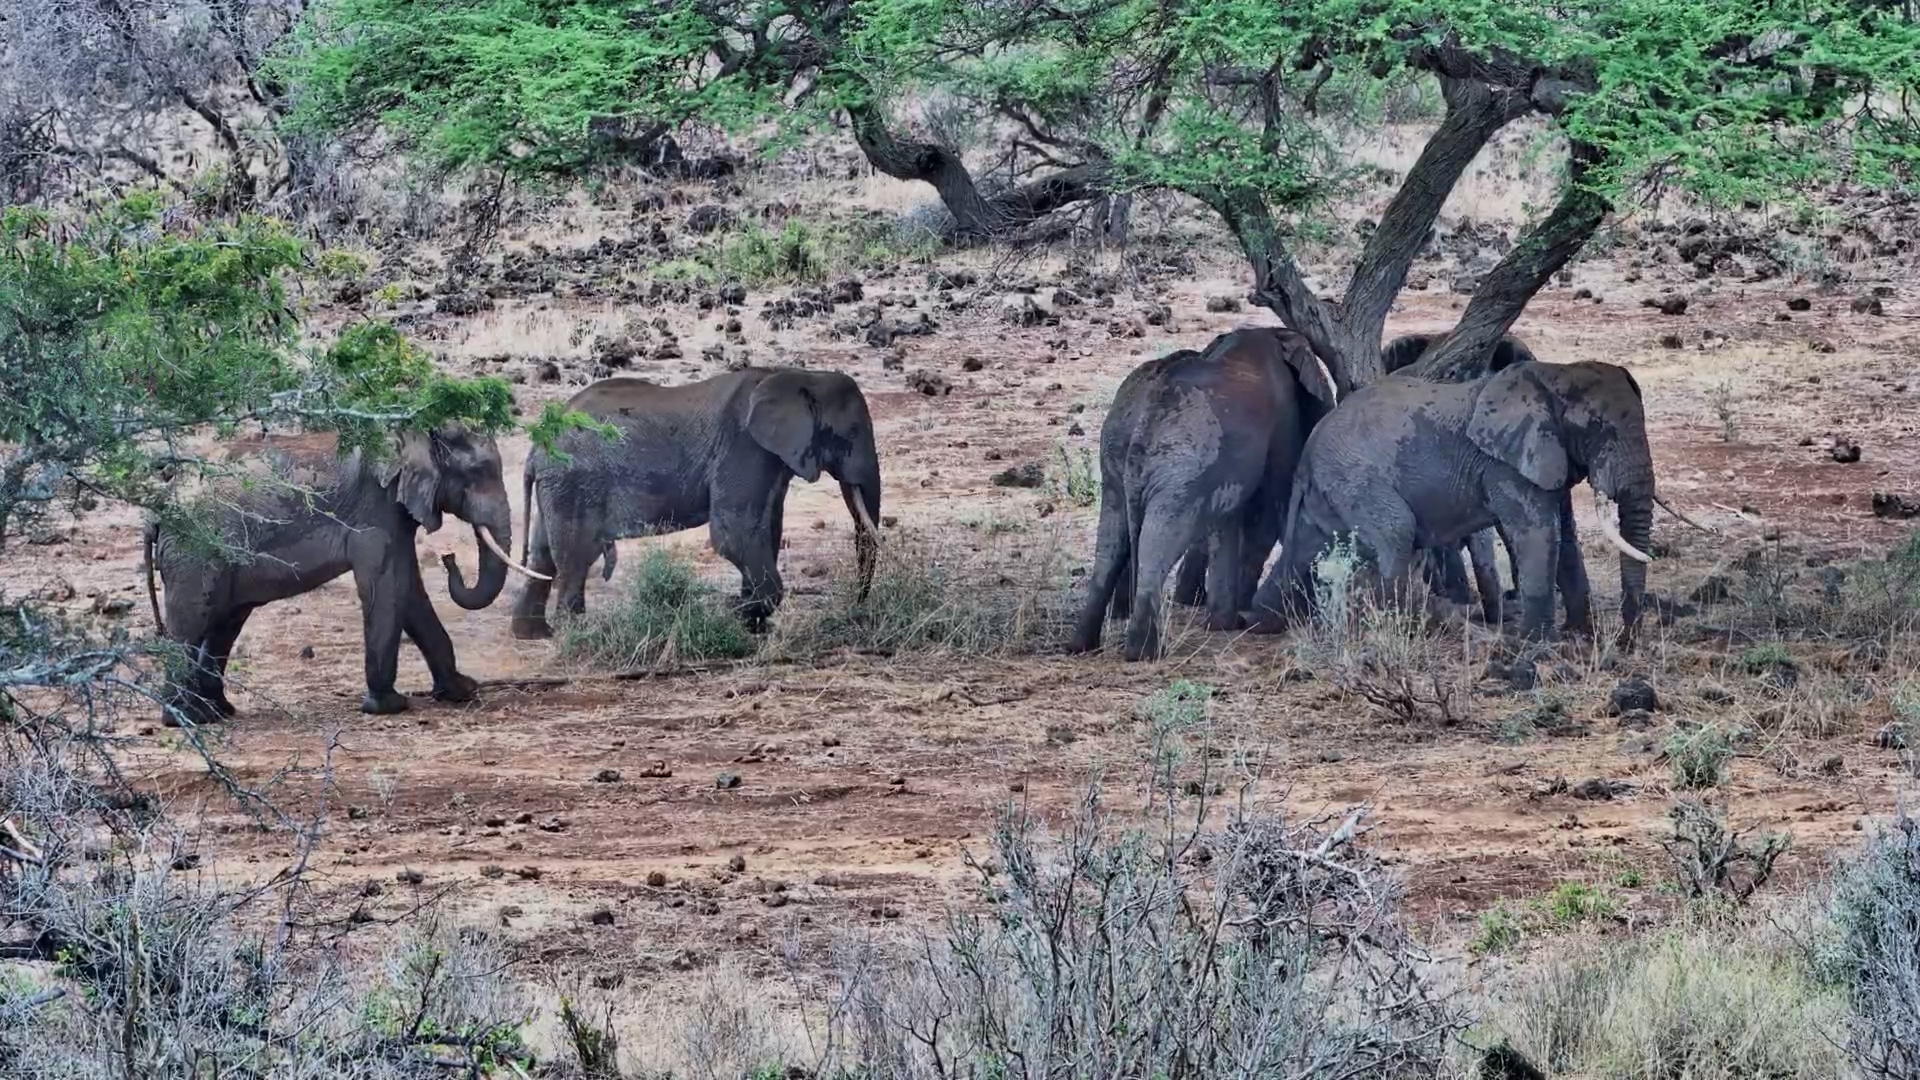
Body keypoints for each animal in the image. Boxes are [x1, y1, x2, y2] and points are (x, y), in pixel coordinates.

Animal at [143, 425, 542, 721]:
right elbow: (386, 585)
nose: (449, 558)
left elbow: (409, 588)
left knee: (224, 622)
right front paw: (388, 706)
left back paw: (217, 712)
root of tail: (159, 505)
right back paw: (184, 717)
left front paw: (461, 690)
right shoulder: (375, 511)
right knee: (194, 619)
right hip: (195, 550)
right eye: (477, 473)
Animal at [508, 367, 882, 638]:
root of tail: (535, 447)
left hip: (558, 484)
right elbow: (734, 535)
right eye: (850, 436)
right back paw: (577, 635)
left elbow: (766, 528)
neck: (802, 376)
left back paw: (533, 634)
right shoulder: (743, 447)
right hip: (574, 481)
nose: (856, 609)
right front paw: (741, 616)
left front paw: (752, 623)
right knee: (577, 556)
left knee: (544, 554)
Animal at [1069, 327, 1338, 660]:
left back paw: (1080, 645)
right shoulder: (1283, 420)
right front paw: (1256, 618)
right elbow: (1275, 507)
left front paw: (1225, 624)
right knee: (1160, 539)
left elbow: (1231, 521)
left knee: (1110, 541)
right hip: (1181, 465)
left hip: (1116, 455)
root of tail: (1143, 416)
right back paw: (1143, 652)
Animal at [1251, 359, 1659, 643]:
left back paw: (1259, 622)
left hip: (1330, 485)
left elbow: (1566, 533)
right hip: (1352, 476)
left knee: (1304, 548)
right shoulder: (1503, 464)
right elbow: (1537, 533)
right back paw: (1404, 627)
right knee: (1397, 532)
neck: (1555, 374)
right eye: (1597, 428)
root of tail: (1309, 449)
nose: (1627, 640)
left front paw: (1579, 635)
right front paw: (1539, 645)